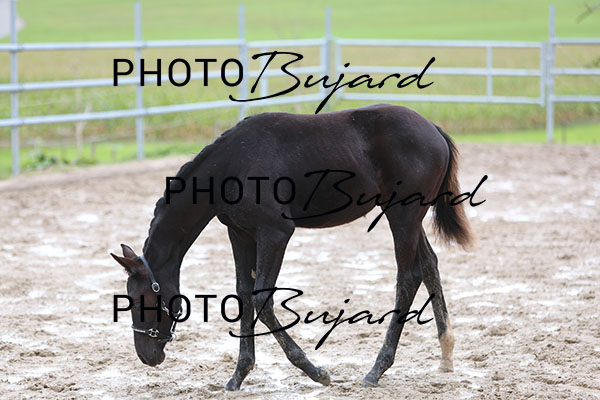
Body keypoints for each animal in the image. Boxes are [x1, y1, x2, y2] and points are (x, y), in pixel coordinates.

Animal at [111, 103, 473, 389]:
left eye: (141, 299)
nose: (147, 356)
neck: (232, 164)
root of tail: (433, 129)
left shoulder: (275, 233)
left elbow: (262, 298)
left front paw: (316, 371)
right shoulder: (240, 234)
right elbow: (244, 292)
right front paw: (238, 375)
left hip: (402, 215)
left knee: (407, 277)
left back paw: (376, 370)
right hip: (407, 218)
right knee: (429, 265)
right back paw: (446, 355)